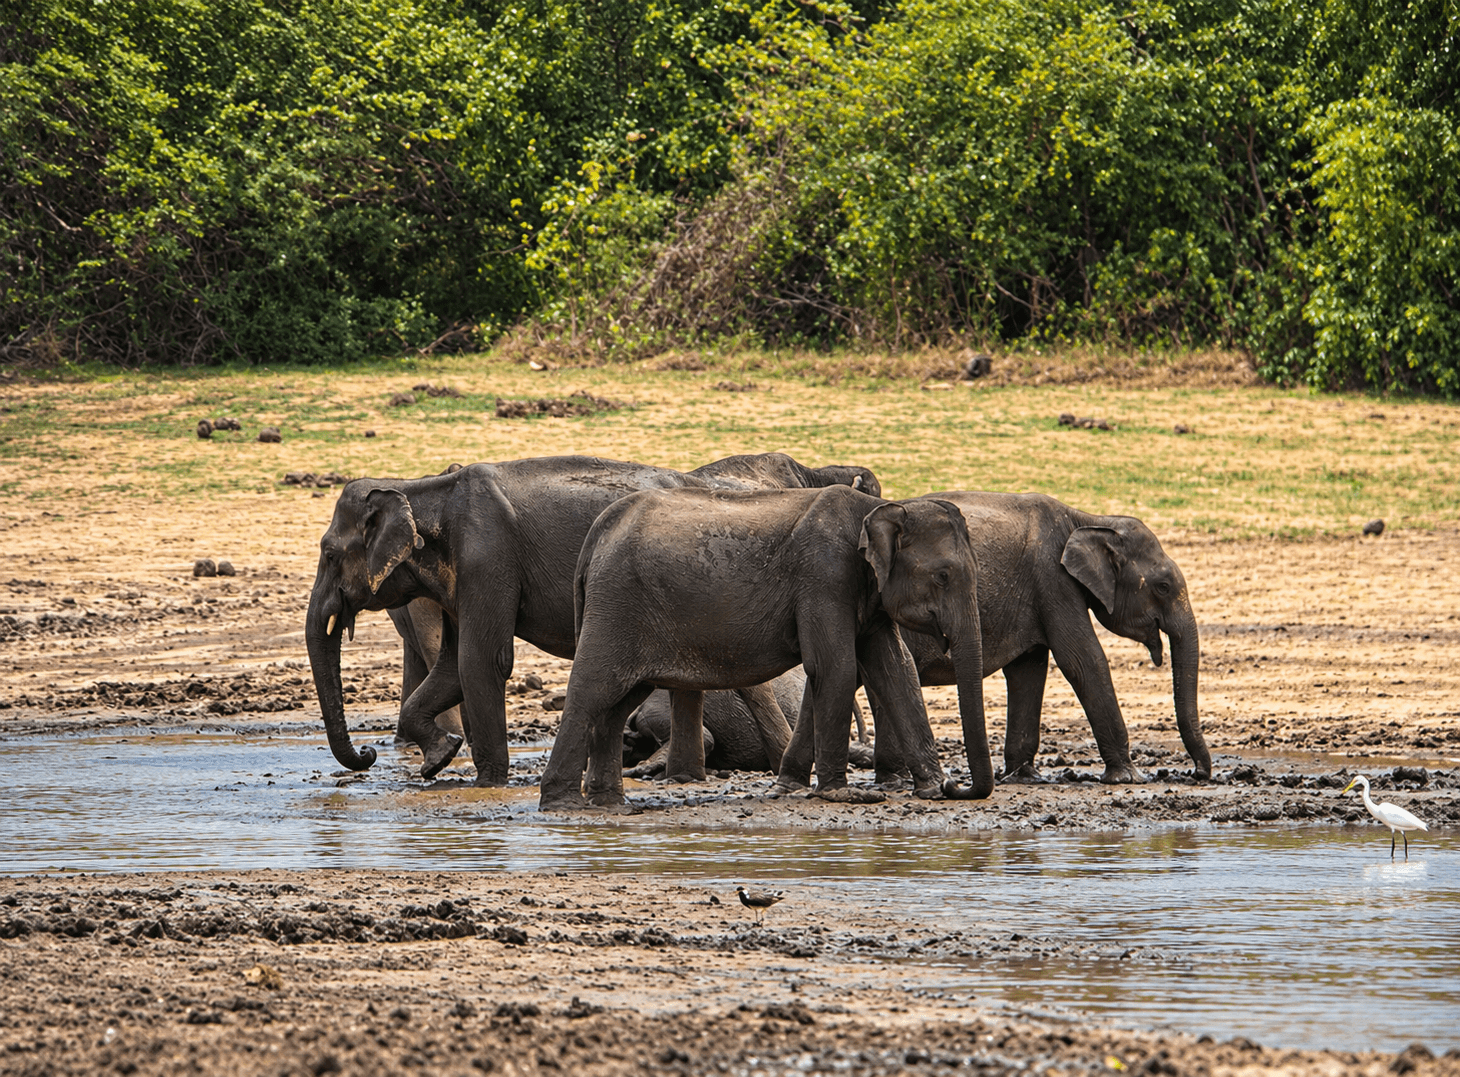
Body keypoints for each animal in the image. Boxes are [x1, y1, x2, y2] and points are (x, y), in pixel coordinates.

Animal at [881, 492, 1210, 784]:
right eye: (1163, 587)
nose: (1196, 773)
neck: (1088, 520)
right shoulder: (1054, 580)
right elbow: (1083, 660)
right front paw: (1127, 777)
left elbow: (1028, 669)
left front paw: (1024, 776)